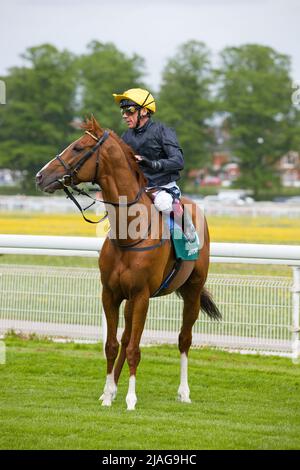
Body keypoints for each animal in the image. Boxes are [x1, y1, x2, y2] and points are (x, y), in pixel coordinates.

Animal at [36, 117, 221, 412]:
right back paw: (112, 389)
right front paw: (107, 393)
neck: (130, 235)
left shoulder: (142, 294)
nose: (40, 176)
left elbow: (135, 348)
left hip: (192, 289)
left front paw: (131, 399)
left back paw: (184, 392)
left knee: (184, 338)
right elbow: (112, 345)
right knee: (125, 338)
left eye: (78, 147)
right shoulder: (111, 294)